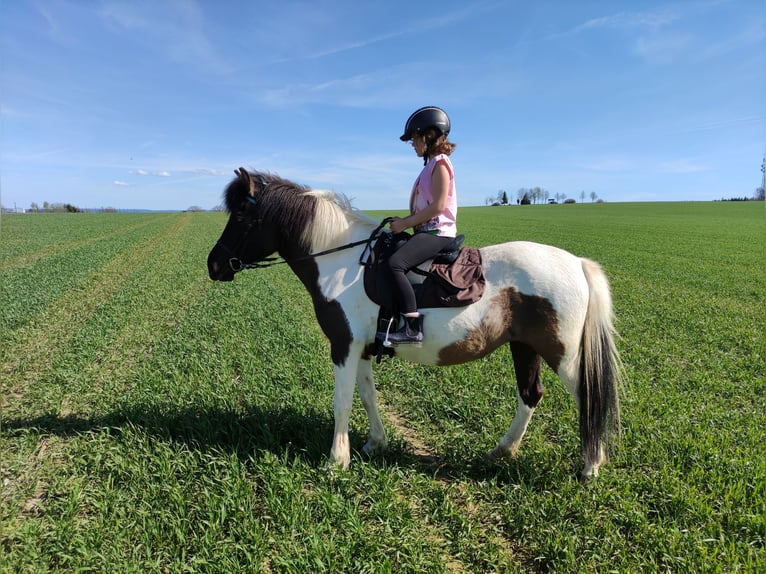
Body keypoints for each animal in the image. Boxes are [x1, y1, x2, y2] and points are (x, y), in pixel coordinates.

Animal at [210, 169, 624, 480]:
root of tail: (577, 264)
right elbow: (367, 395)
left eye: (241, 217)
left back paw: (590, 467)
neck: (340, 262)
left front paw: (336, 462)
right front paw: (374, 444)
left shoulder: (343, 345)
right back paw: (503, 451)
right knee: (530, 394)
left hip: (561, 353)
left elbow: (342, 401)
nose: (214, 265)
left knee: (588, 396)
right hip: (525, 346)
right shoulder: (363, 347)